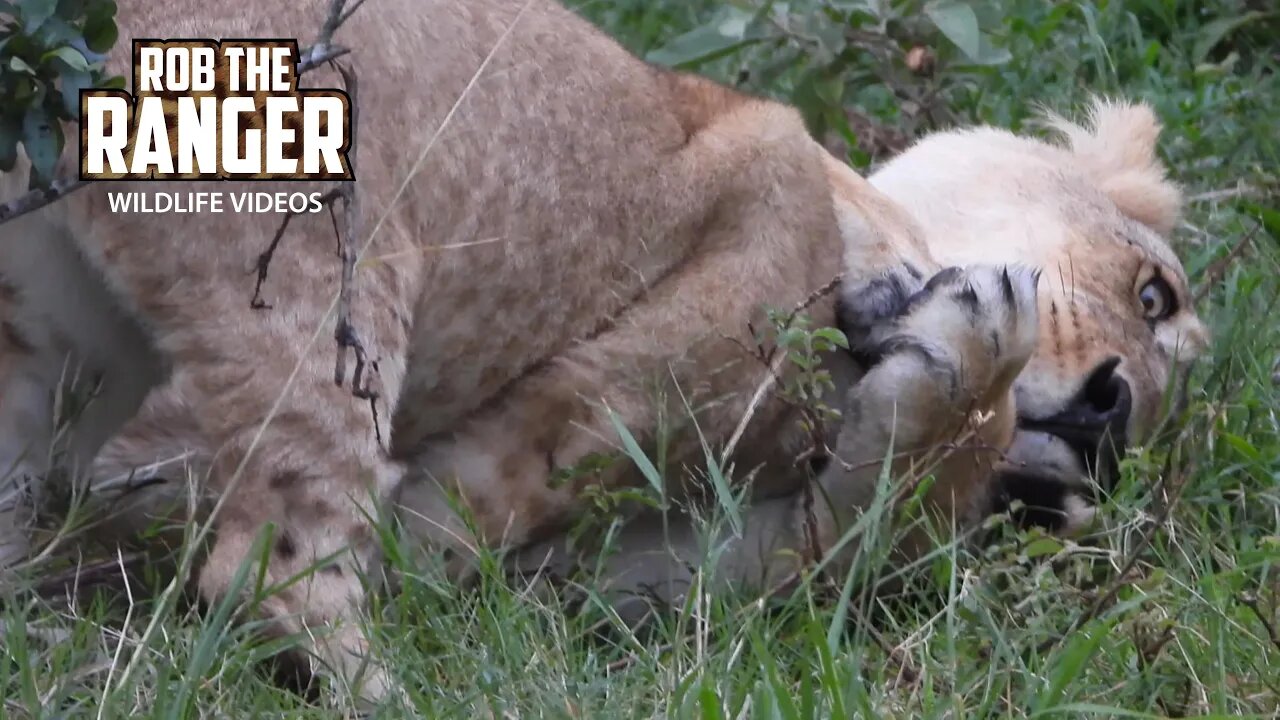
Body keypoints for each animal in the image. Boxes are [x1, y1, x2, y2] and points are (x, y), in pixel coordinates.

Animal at [0, 0, 1198, 702]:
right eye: (1153, 294)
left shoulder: (589, 577)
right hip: (333, 274)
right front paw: (972, 348)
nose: (1111, 426)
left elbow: (816, 531)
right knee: (274, 562)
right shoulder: (755, 194)